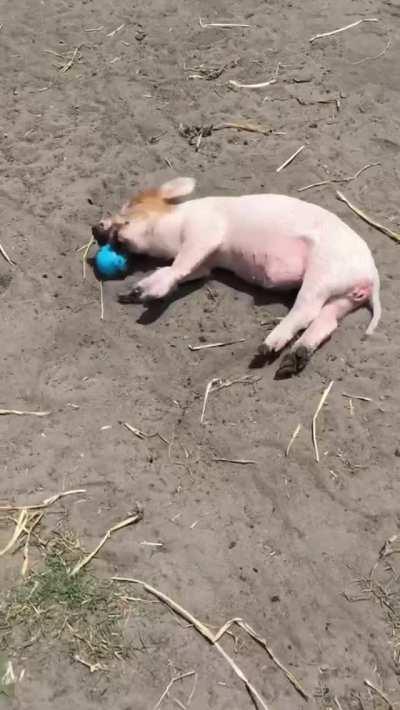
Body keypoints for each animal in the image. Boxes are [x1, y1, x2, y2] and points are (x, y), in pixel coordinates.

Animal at [92, 177, 381, 378]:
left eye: (130, 205)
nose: (95, 227)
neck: (174, 229)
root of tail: (370, 275)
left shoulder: (204, 233)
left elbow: (177, 267)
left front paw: (138, 294)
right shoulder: (206, 264)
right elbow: (184, 272)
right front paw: (128, 295)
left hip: (322, 273)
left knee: (307, 310)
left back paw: (265, 349)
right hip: (343, 299)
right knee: (326, 321)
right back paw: (291, 363)